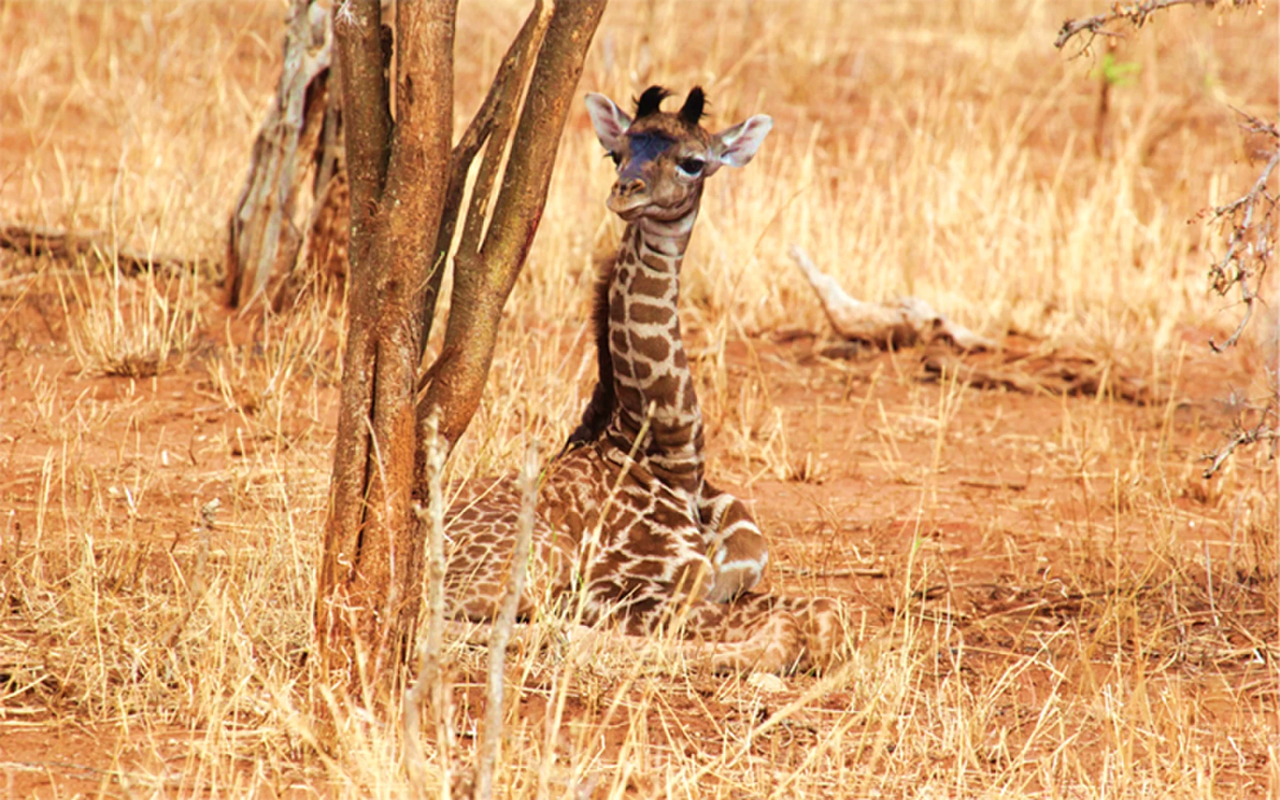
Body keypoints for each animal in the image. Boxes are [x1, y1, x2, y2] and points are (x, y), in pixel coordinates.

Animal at [445, 85, 844, 675]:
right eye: (617, 153)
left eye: (693, 162)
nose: (624, 193)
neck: (671, 458)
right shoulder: (615, 586)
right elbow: (788, 629)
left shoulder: (732, 577)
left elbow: (822, 614)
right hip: (533, 562)